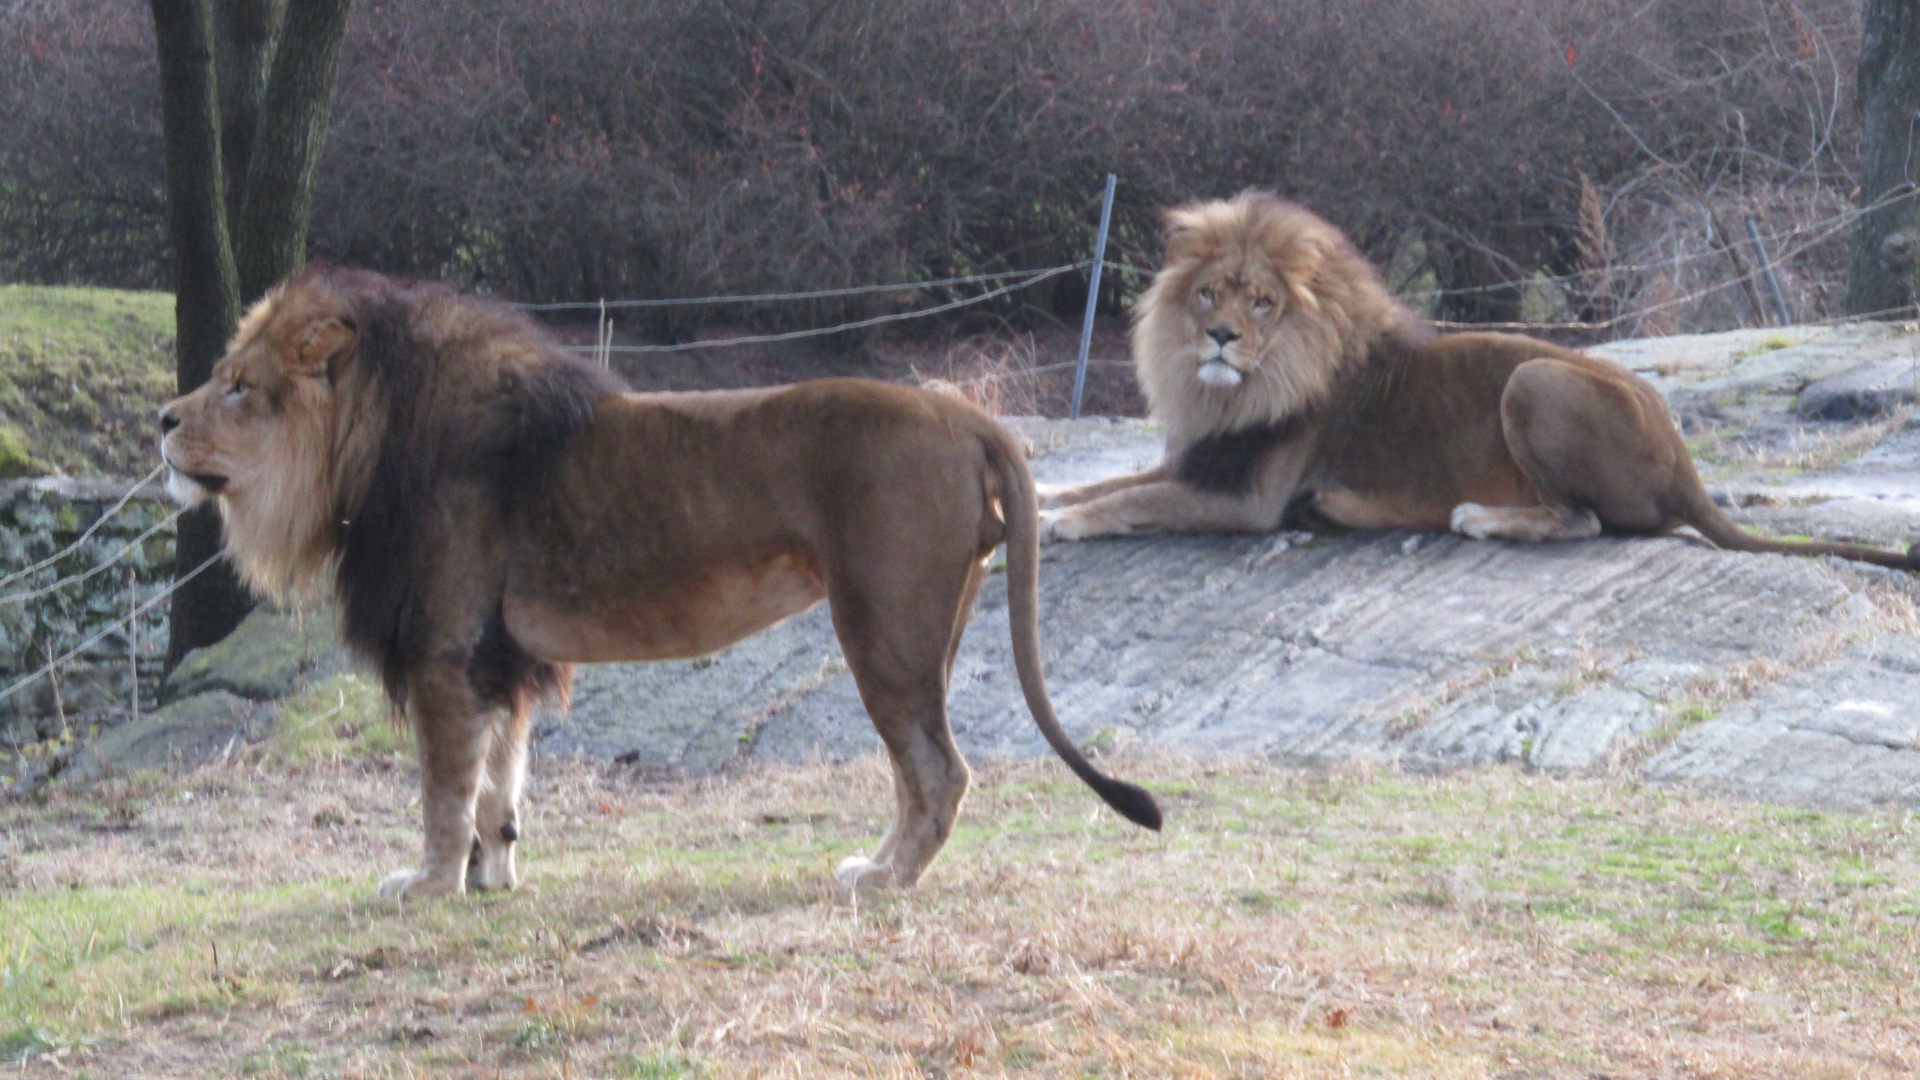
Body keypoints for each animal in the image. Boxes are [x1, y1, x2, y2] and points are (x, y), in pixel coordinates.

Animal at [158, 265, 1160, 901]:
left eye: (239, 386)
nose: (163, 419)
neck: (363, 450)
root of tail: (964, 415)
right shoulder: (496, 661)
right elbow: (497, 788)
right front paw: (492, 880)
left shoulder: (447, 653)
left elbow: (444, 792)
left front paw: (429, 886)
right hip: (929, 626)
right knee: (923, 776)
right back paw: (872, 869)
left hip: (883, 627)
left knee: (938, 771)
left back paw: (881, 883)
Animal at [1038, 191, 1919, 571]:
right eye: (1208, 294)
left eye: (1262, 302)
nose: (1221, 336)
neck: (1235, 385)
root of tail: (1686, 463)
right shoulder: (1206, 455)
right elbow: (1112, 482)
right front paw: (1043, 498)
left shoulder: (1249, 499)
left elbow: (1133, 501)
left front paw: (1059, 524)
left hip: (1532, 379)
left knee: (1583, 522)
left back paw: (1480, 519)